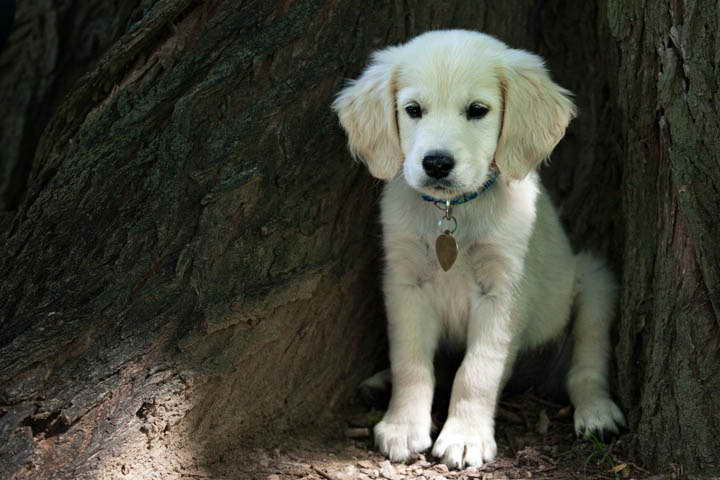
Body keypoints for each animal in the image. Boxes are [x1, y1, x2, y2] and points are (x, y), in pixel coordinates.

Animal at [332, 30, 624, 468]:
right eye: (413, 110)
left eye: (477, 110)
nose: (436, 163)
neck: (454, 211)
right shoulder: (405, 284)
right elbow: (410, 362)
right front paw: (403, 425)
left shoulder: (503, 292)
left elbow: (477, 371)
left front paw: (465, 436)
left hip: (594, 282)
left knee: (586, 367)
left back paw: (597, 412)